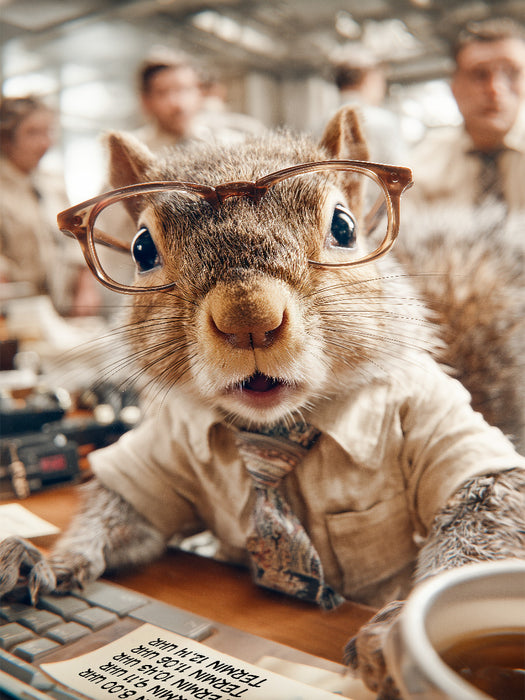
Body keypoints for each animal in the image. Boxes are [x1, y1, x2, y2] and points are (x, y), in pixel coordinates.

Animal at [1, 107, 524, 699]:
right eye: (141, 249)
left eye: (344, 227)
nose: (248, 317)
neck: (277, 428)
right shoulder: (169, 444)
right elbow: (125, 509)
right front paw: (49, 560)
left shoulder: (428, 414)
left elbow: (487, 502)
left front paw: (395, 634)